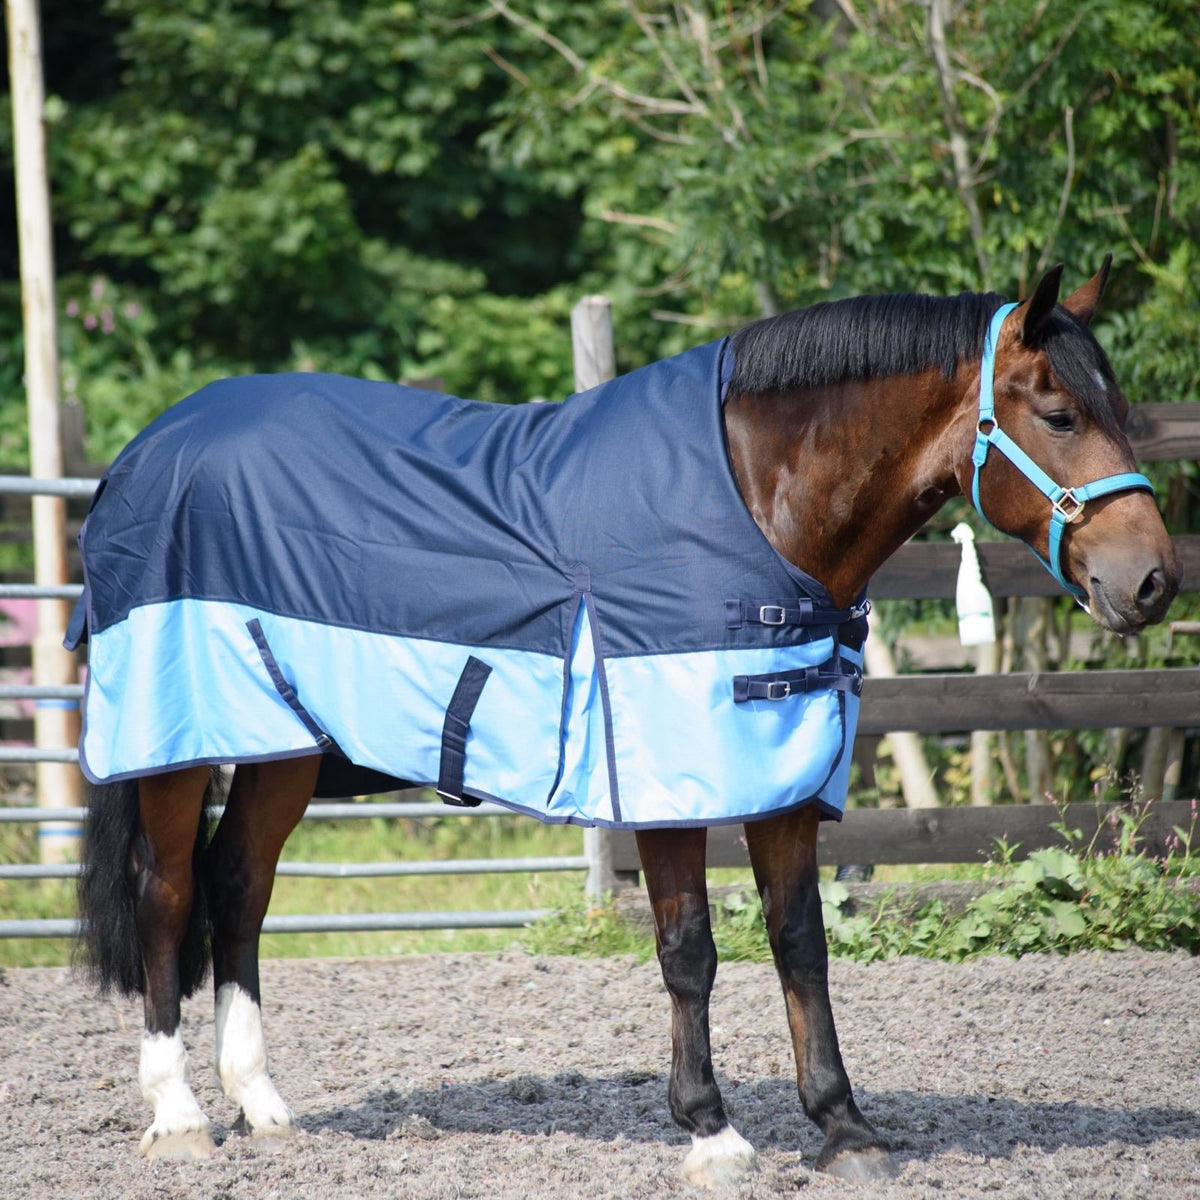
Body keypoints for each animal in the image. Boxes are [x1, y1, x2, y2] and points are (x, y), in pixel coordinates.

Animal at [74, 258, 1179, 1186]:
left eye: (1119, 410)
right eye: (1060, 414)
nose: (1154, 581)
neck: (754, 501)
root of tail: (149, 448)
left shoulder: (781, 776)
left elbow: (801, 943)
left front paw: (845, 1128)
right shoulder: (664, 784)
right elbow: (689, 950)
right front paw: (712, 1132)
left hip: (280, 747)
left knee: (239, 888)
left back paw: (262, 1105)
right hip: (174, 748)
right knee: (169, 896)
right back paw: (179, 1115)